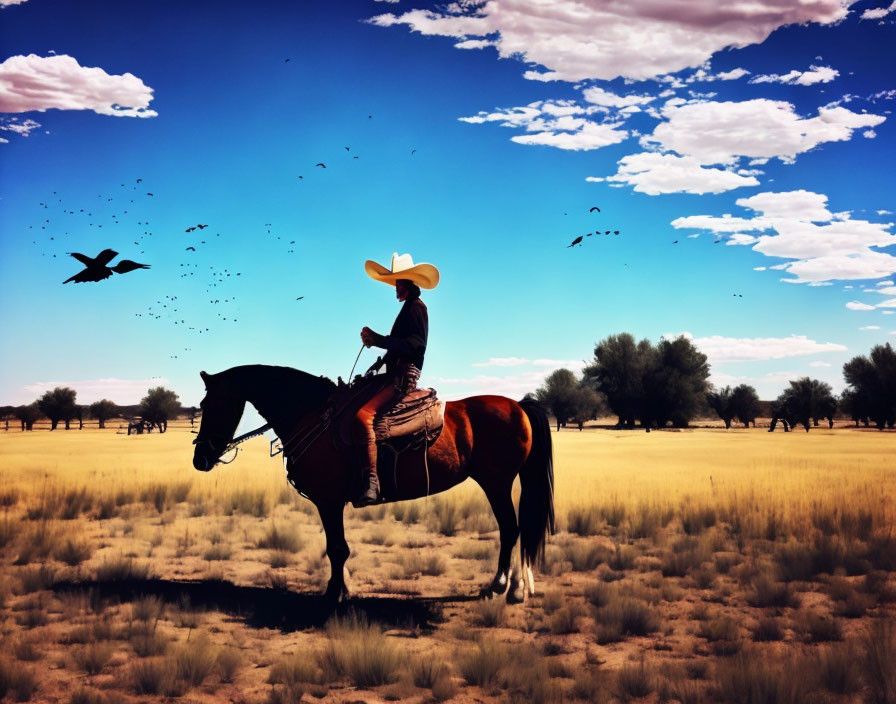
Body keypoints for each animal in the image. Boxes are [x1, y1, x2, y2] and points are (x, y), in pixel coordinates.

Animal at [192, 366, 552, 604]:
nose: (200, 459)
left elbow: (337, 549)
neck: (311, 414)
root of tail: (519, 405)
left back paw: (506, 587)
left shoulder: (328, 501)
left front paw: (335, 594)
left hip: (496, 483)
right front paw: (341, 589)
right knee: (513, 530)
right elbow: (337, 549)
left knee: (511, 529)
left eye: (209, 405)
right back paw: (511, 586)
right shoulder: (330, 502)